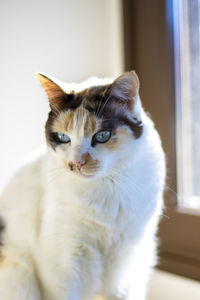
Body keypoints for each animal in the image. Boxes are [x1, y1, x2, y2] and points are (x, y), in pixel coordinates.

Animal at [0, 71, 166, 300]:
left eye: (102, 136)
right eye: (63, 137)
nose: (76, 163)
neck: (105, 188)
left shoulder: (126, 272)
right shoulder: (62, 267)